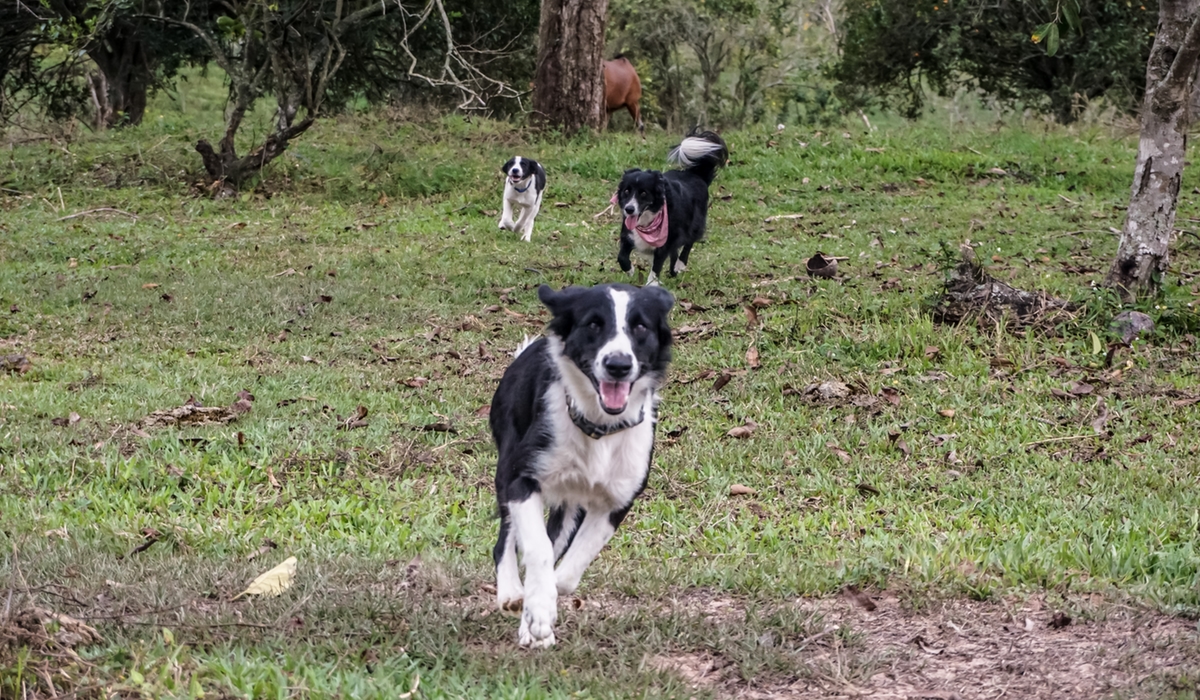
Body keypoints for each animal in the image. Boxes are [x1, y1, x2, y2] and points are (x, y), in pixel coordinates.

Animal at [489, 282, 675, 648]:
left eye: (640, 326)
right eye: (593, 324)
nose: (618, 364)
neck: (599, 429)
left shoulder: (617, 501)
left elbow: (566, 576)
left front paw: (539, 614)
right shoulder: (523, 478)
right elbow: (538, 551)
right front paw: (538, 608)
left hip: (571, 506)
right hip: (506, 465)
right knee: (504, 541)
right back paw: (511, 591)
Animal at [615, 129, 728, 285]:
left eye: (643, 193)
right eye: (626, 191)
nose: (629, 209)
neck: (648, 220)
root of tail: (696, 174)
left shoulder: (667, 240)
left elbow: (658, 263)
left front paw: (652, 283)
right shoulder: (628, 234)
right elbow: (621, 256)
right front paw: (630, 270)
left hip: (694, 224)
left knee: (688, 243)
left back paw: (679, 265)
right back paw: (673, 271)